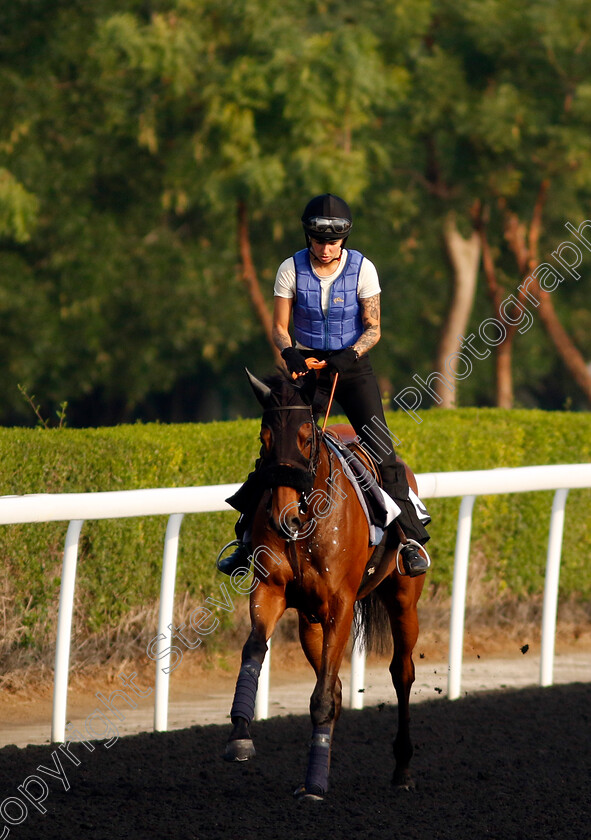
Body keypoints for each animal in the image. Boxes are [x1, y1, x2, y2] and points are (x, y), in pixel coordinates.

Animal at [224, 372, 428, 800]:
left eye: (305, 437)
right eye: (264, 439)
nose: (284, 518)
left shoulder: (341, 606)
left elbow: (323, 696)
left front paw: (315, 786)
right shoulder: (270, 590)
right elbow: (254, 650)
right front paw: (240, 736)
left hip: (403, 599)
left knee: (401, 672)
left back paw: (402, 768)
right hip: (310, 621)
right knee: (331, 684)